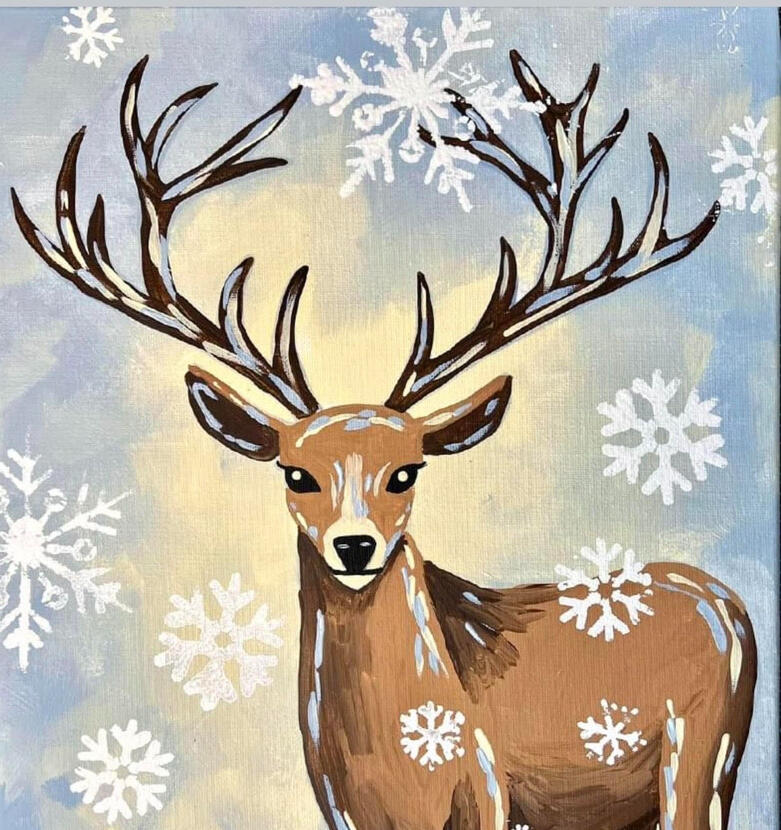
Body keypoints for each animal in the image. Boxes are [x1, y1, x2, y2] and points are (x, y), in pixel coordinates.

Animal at [11, 53, 756, 830]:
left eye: (407, 471)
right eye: (295, 473)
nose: (354, 545)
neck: (396, 772)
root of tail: (727, 601)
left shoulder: (490, 790)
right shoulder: (338, 807)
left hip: (701, 762)